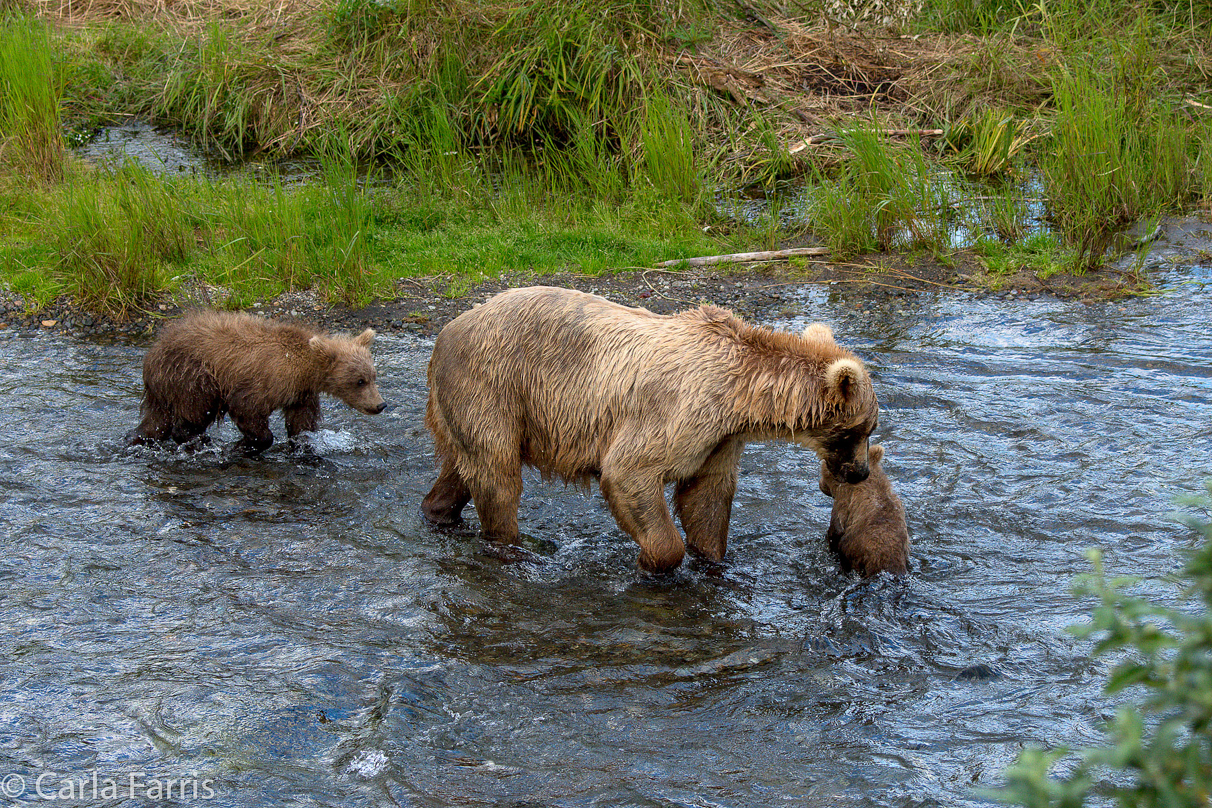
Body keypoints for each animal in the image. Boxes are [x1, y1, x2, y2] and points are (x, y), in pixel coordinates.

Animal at [129, 310, 382, 453]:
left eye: (373, 376)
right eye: (359, 381)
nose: (380, 404)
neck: (304, 369)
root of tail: (151, 354)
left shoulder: (301, 394)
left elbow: (302, 424)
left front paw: (304, 444)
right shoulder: (265, 381)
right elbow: (247, 409)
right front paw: (246, 444)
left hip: (166, 386)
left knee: (156, 422)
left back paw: (138, 438)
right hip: (192, 375)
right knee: (196, 409)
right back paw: (200, 440)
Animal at [421, 287, 877, 571]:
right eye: (864, 428)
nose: (860, 472)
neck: (741, 397)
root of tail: (446, 331)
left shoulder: (720, 439)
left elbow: (707, 499)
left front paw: (712, 559)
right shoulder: (681, 412)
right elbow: (629, 472)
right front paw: (652, 560)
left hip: (469, 406)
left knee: (463, 468)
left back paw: (439, 512)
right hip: (492, 385)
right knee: (498, 478)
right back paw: (514, 547)